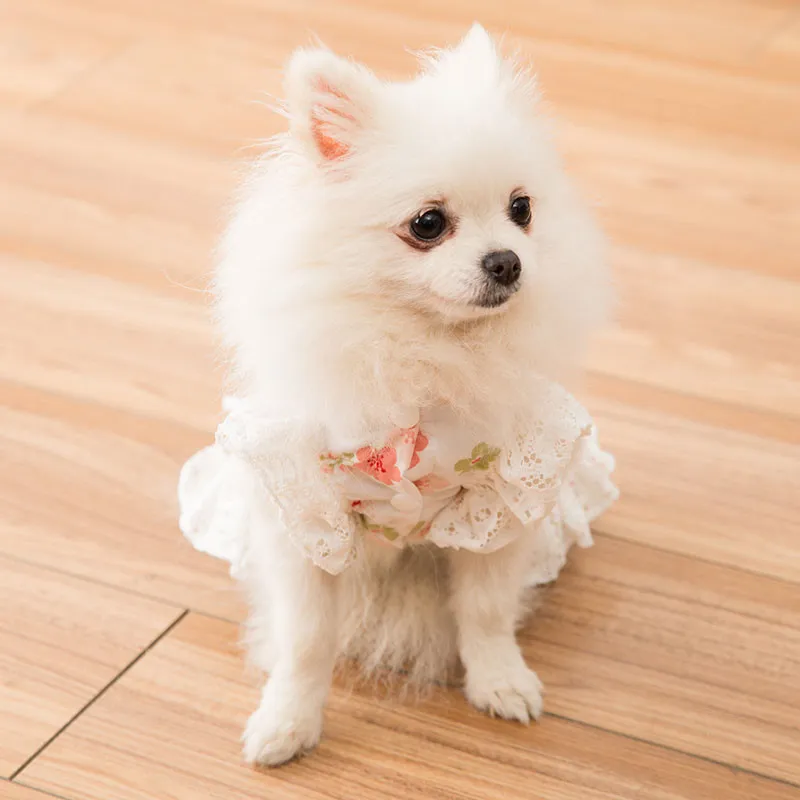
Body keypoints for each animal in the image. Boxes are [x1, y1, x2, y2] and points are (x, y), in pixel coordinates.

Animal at [180, 23, 620, 764]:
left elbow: (486, 611)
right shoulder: (305, 518)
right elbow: (307, 640)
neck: (425, 351)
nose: (508, 261)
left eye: (522, 209)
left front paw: (500, 680)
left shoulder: (500, 504)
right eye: (428, 224)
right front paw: (287, 720)